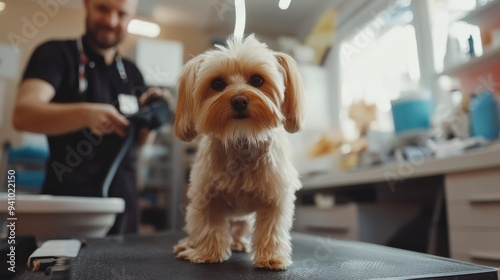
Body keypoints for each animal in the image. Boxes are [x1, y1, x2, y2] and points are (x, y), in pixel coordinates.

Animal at [172, 34, 304, 270]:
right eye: (217, 84)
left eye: (257, 80)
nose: (239, 100)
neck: (242, 141)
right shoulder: (206, 196)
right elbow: (209, 225)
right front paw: (208, 254)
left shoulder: (276, 196)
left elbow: (271, 229)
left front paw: (271, 257)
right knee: (196, 231)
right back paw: (187, 245)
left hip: (244, 222)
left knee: (238, 233)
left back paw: (238, 243)